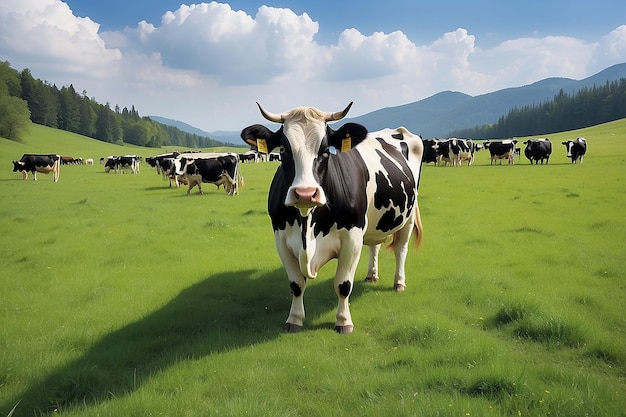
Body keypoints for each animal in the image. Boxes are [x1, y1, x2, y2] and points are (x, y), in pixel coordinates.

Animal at [239, 102, 424, 334]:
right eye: (283, 150)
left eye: (326, 150)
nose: (305, 193)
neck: (307, 227)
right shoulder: (280, 238)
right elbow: (296, 284)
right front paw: (294, 319)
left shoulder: (352, 238)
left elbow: (343, 285)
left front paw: (344, 322)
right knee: (375, 245)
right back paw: (372, 275)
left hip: (408, 216)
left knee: (400, 249)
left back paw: (399, 282)